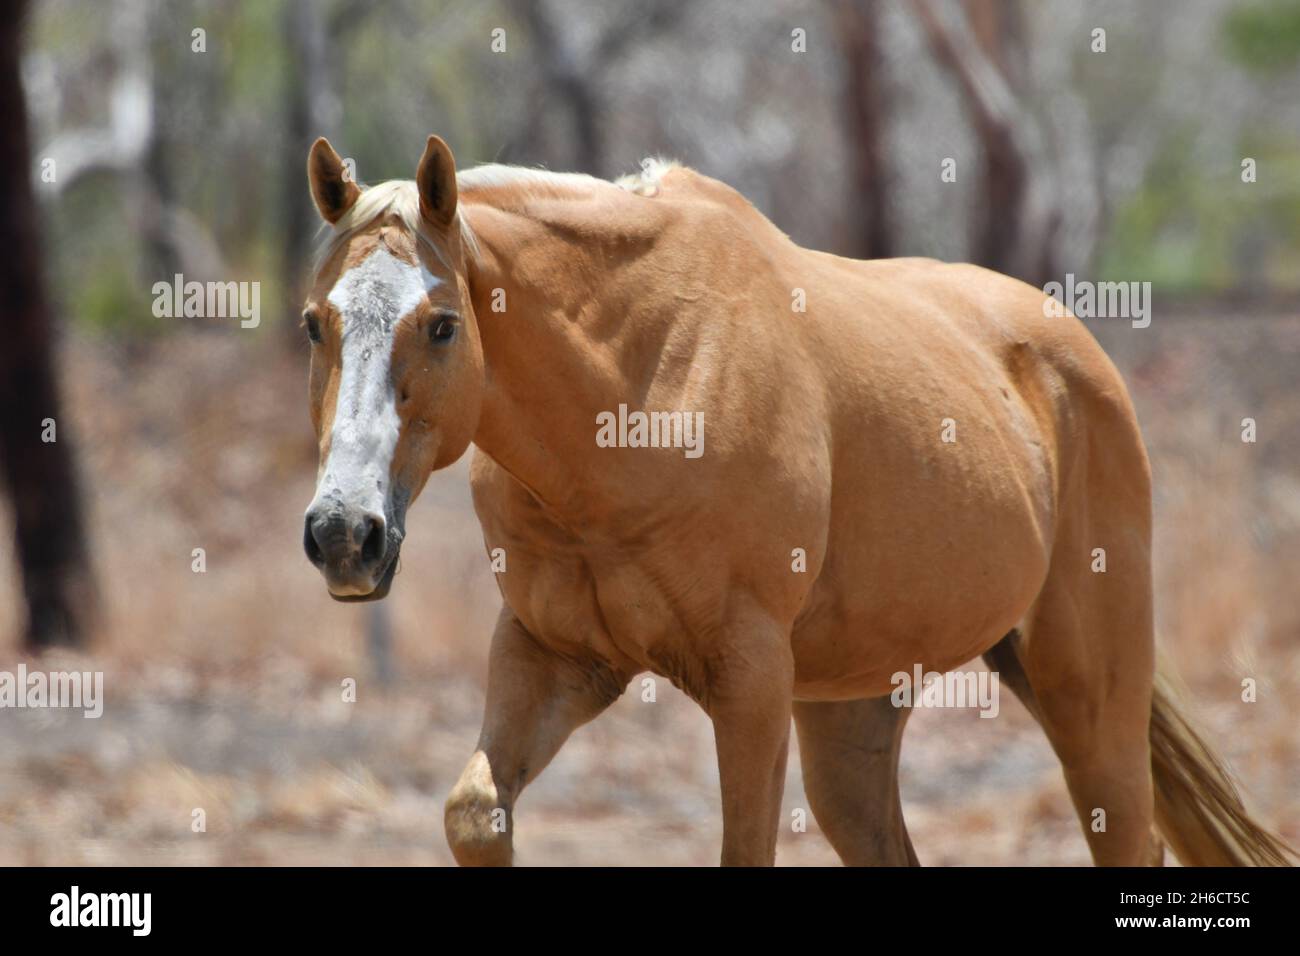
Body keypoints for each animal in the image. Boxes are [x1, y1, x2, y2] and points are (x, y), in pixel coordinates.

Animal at [301, 132, 1289, 868]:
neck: (640, 392)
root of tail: (1076, 353)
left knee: (1127, 835)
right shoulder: (554, 655)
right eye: (316, 322)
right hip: (856, 712)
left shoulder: (748, 679)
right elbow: (475, 812)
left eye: (442, 325)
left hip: (1086, 688)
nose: (345, 532)